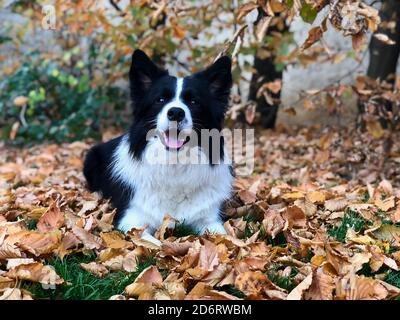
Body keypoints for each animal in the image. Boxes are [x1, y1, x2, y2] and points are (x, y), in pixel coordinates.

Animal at [83, 49, 234, 242]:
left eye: (194, 102)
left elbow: (224, 238)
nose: (176, 113)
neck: (173, 165)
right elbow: (154, 243)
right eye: (160, 99)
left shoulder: (209, 219)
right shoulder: (133, 220)